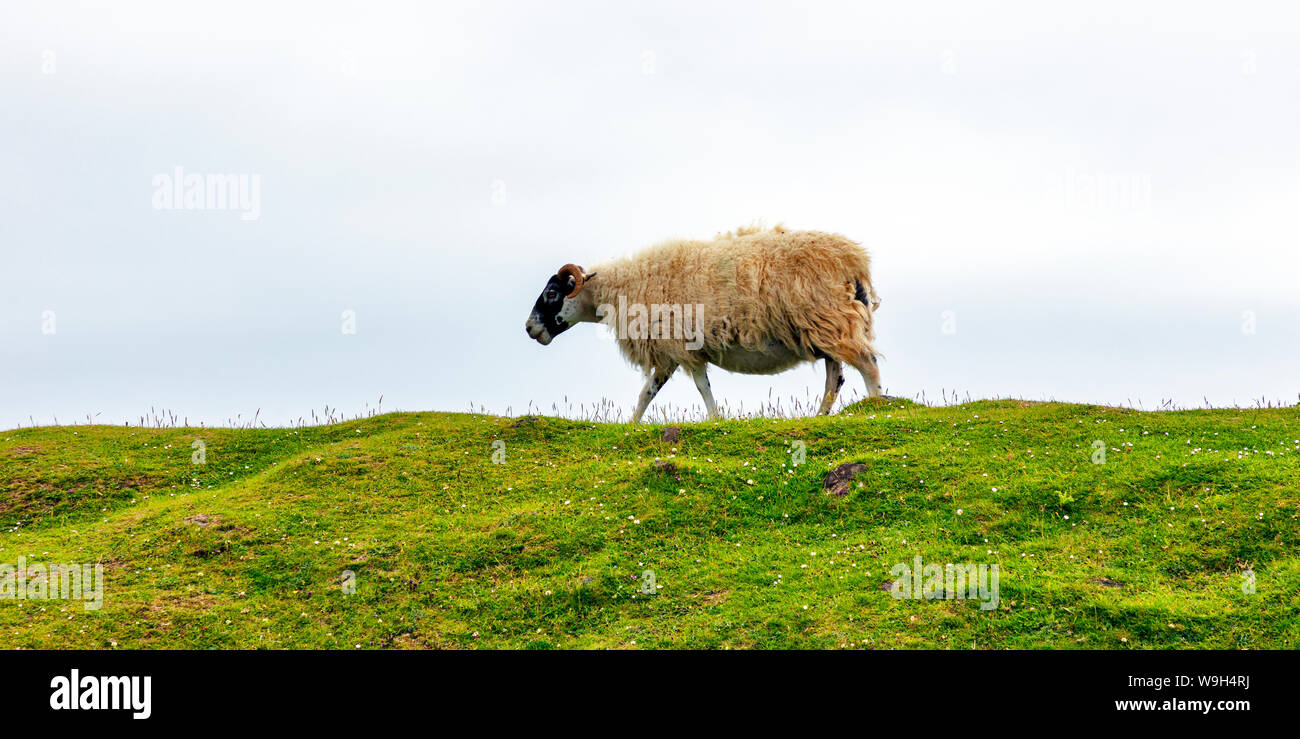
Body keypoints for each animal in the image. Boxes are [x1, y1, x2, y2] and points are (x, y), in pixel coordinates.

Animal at [525, 225, 883, 421]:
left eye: (553, 292)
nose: (529, 328)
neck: (621, 288)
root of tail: (854, 260)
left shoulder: (681, 347)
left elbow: (699, 387)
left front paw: (714, 418)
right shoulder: (671, 352)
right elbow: (648, 392)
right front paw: (633, 424)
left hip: (830, 318)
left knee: (866, 363)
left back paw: (877, 404)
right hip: (823, 328)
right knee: (835, 377)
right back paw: (820, 416)